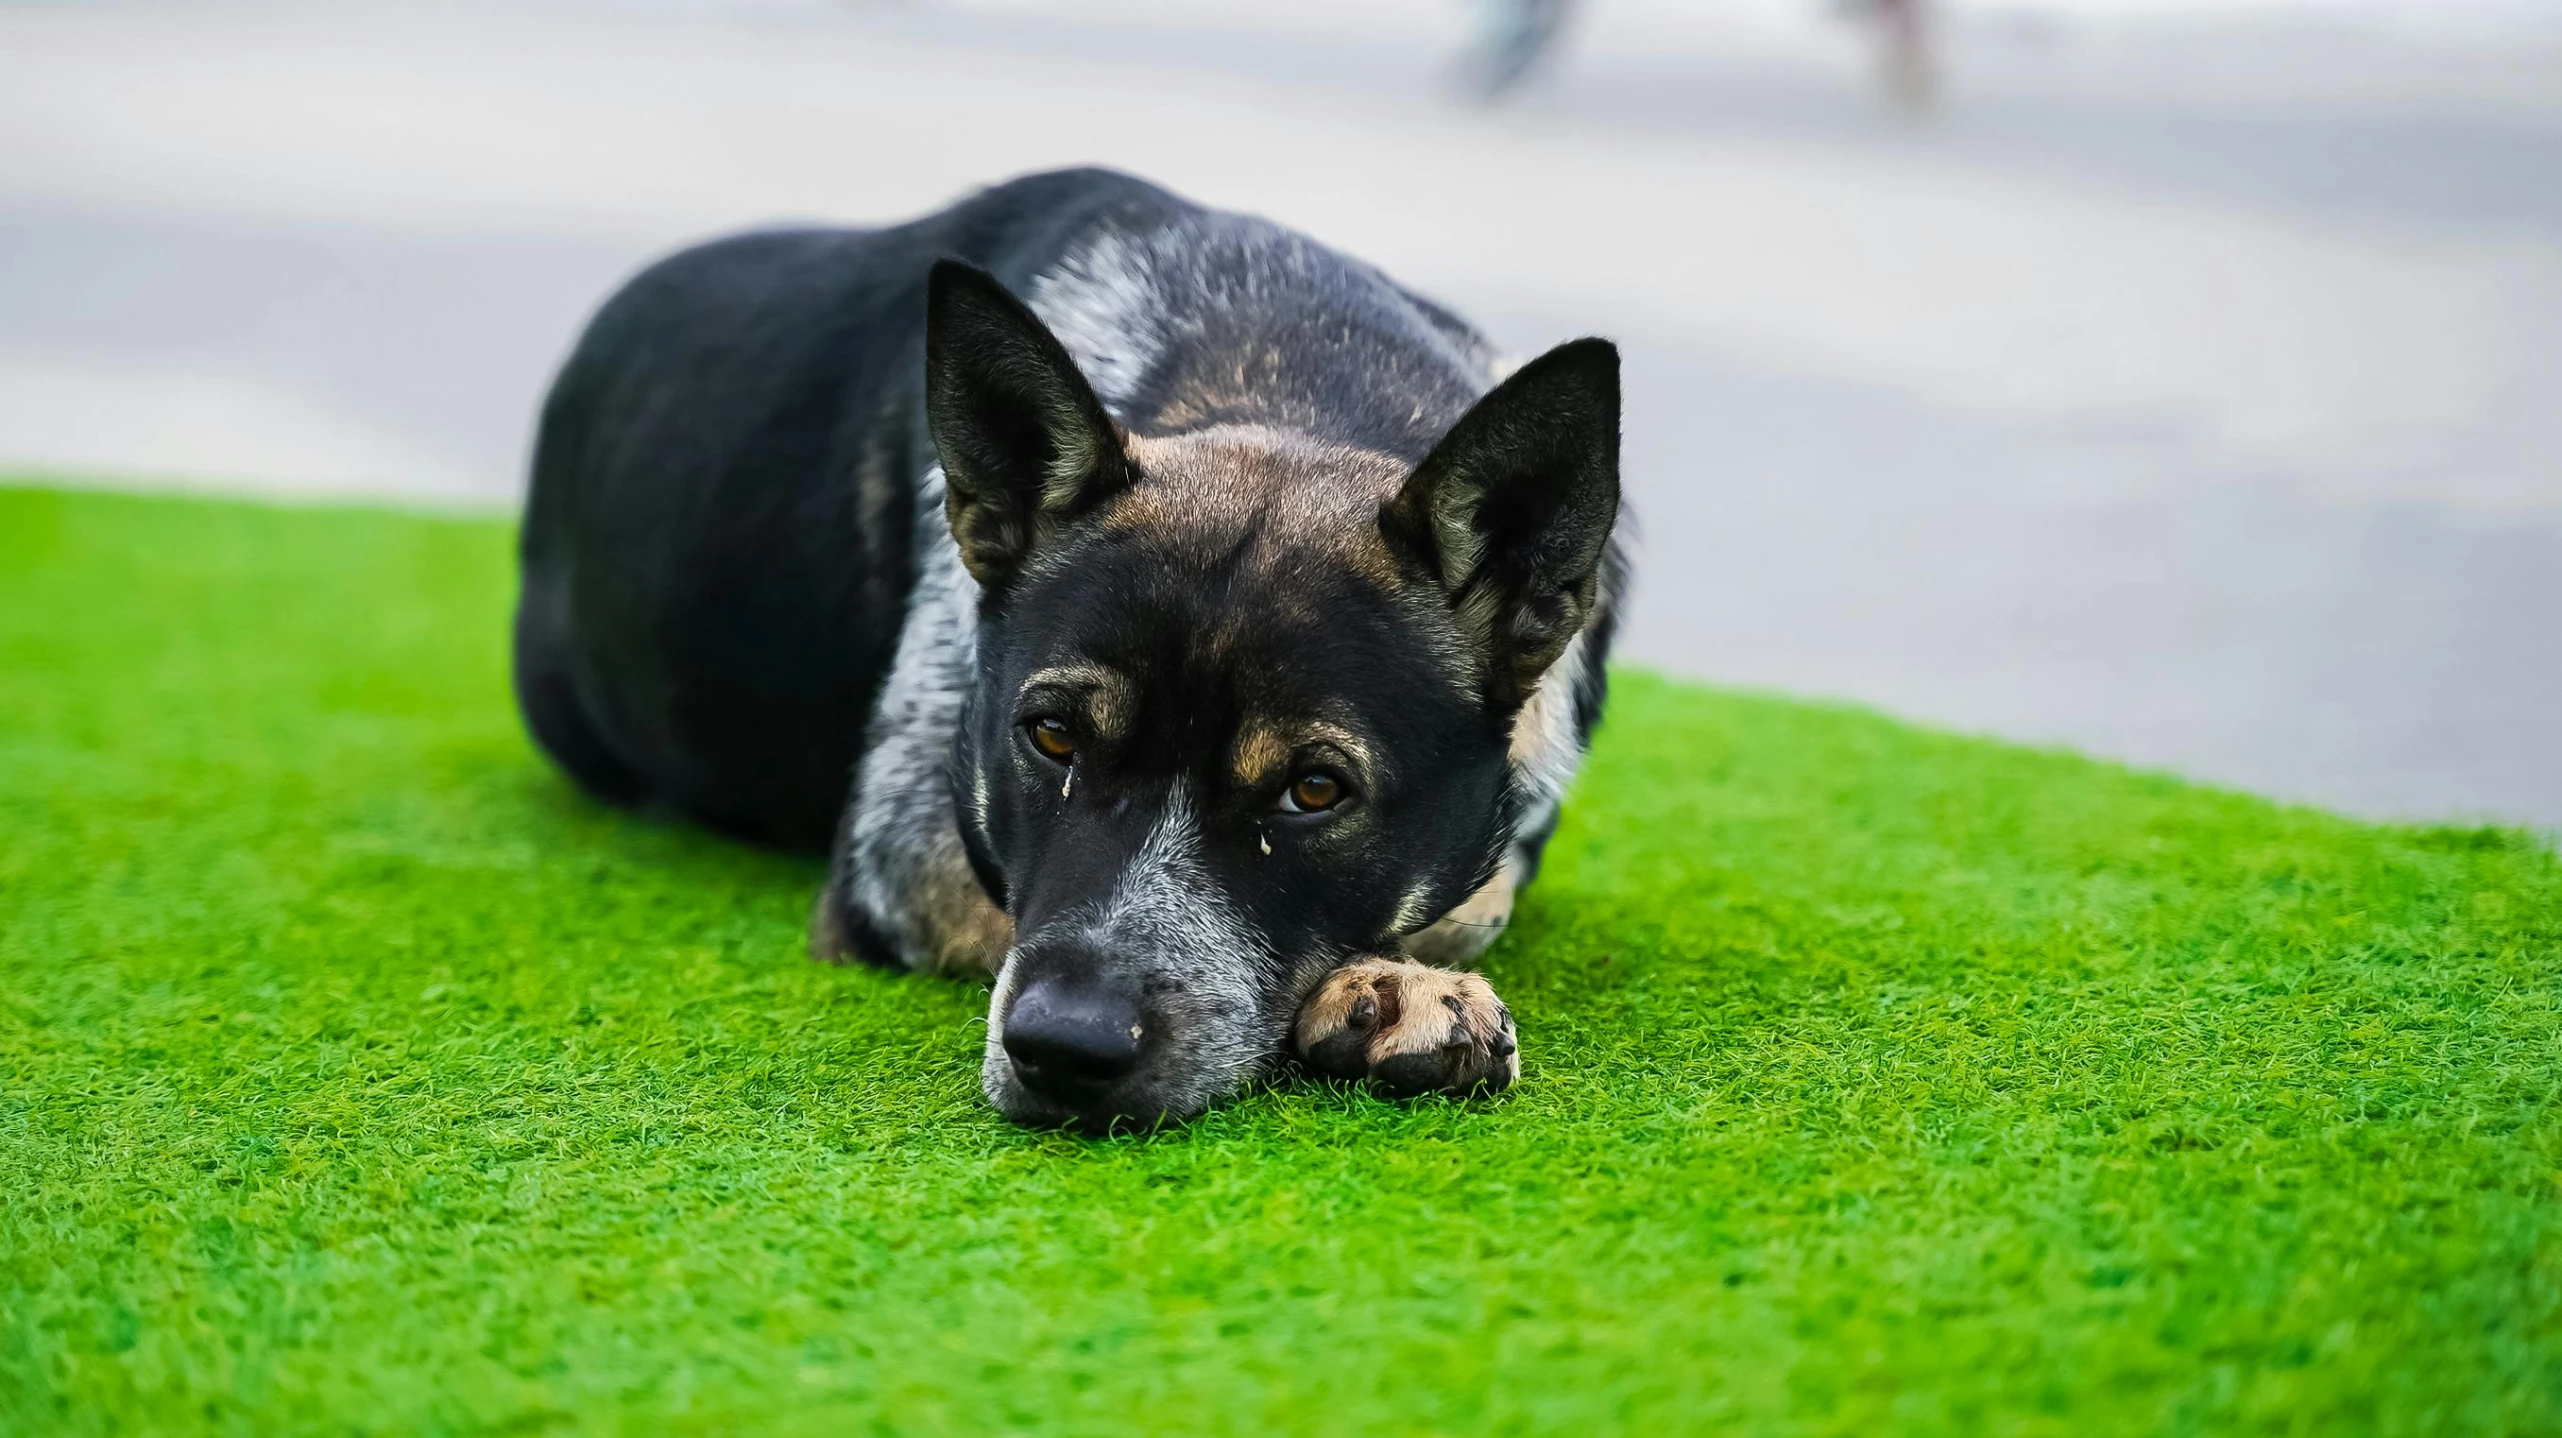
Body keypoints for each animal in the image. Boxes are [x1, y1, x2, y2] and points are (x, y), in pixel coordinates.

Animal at [509, 167, 1619, 1127]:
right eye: (1049, 738)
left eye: (1315, 790)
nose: (1063, 1050)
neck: (1287, 372)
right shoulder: (902, 857)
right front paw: (1390, 984)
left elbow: (1470, 897)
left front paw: (1390, 976)